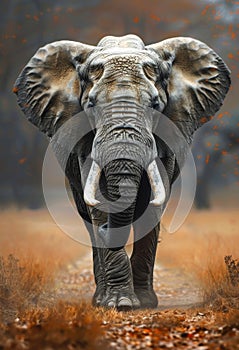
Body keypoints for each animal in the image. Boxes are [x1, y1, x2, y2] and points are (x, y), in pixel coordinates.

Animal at [14, 34, 231, 310]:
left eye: (155, 105)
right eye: (91, 105)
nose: (107, 229)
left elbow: (152, 208)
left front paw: (144, 303)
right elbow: (98, 202)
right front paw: (120, 304)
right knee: (87, 218)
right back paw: (99, 299)